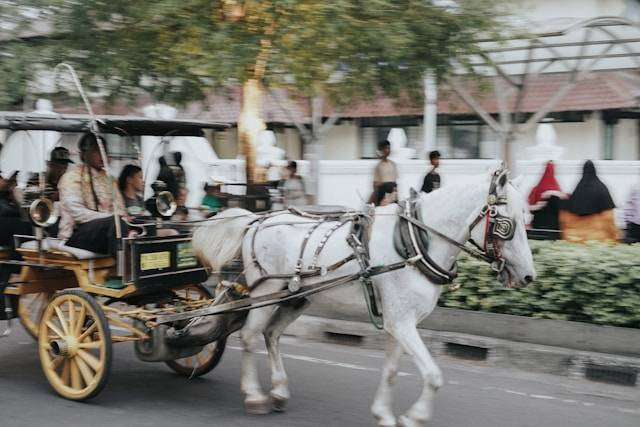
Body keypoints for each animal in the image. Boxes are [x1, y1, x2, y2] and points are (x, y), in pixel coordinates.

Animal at [191, 170, 536, 424]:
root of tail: (257, 220)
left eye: (527, 218)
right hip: (267, 293)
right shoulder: (402, 323)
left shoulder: (400, 323)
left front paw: (384, 414)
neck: (414, 243)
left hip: (296, 298)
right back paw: (255, 396)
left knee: (271, 334)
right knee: (250, 335)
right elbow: (433, 375)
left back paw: (278, 391)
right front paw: (414, 417)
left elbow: (392, 371)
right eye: (506, 225)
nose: (528, 277)